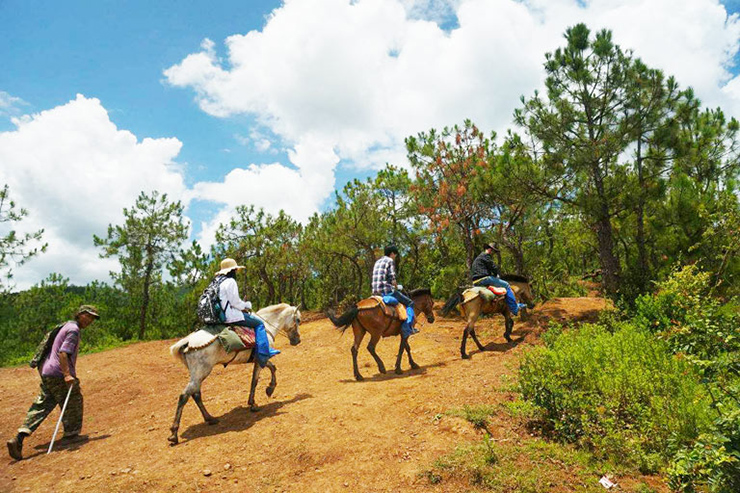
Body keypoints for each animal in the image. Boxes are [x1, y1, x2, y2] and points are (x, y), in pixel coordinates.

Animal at [168, 302, 300, 444]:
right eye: (298, 320)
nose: (297, 340)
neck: (267, 325)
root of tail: (187, 342)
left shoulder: (259, 359)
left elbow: (266, 372)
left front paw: (257, 398)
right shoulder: (261, 358)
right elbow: (258, 379)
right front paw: (265, 393)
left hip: (197, 374)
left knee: (196, 394)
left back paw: (210, 419)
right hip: (201, 372)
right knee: (184, 396)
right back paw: (174, 433)